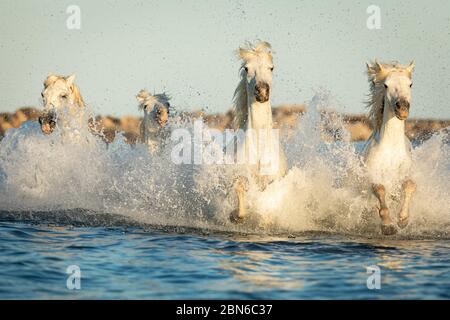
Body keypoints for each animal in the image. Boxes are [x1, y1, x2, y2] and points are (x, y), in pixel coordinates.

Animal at [229, 41, 288, 222]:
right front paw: (236, 215)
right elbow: (240, 192)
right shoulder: (241, 176)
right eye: (247, 68)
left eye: (271, 68)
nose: (261, 91)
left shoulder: (273, 180)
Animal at [364, 60, 416, 235]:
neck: (392, 147)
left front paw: (403, 219)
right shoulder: (373, 176)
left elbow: (409, 185)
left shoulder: (405, 173)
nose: (402, 108)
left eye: (410, 84)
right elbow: (380, 189)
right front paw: (387, 225)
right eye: (386, 85)